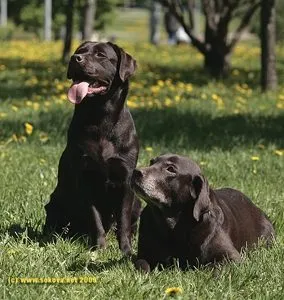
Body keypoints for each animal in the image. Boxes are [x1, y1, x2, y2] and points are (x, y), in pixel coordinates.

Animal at [43, 41, 141, 254]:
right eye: (79, 51)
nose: (75, 58)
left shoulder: (126, 180)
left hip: (137, 201)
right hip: (56, 199)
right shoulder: (85, 177)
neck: (100, 117)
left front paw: (126, 250)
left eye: (100, 55)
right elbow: (95, 219)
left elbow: (123, 220)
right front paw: (99, 248)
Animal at [133, 155, 276, 272]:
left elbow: (210, 267)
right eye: (151, 162)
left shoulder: (232, 258)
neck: (174, 227)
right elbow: (142, 265)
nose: (136, 172)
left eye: (171, 169)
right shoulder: (144, 256)